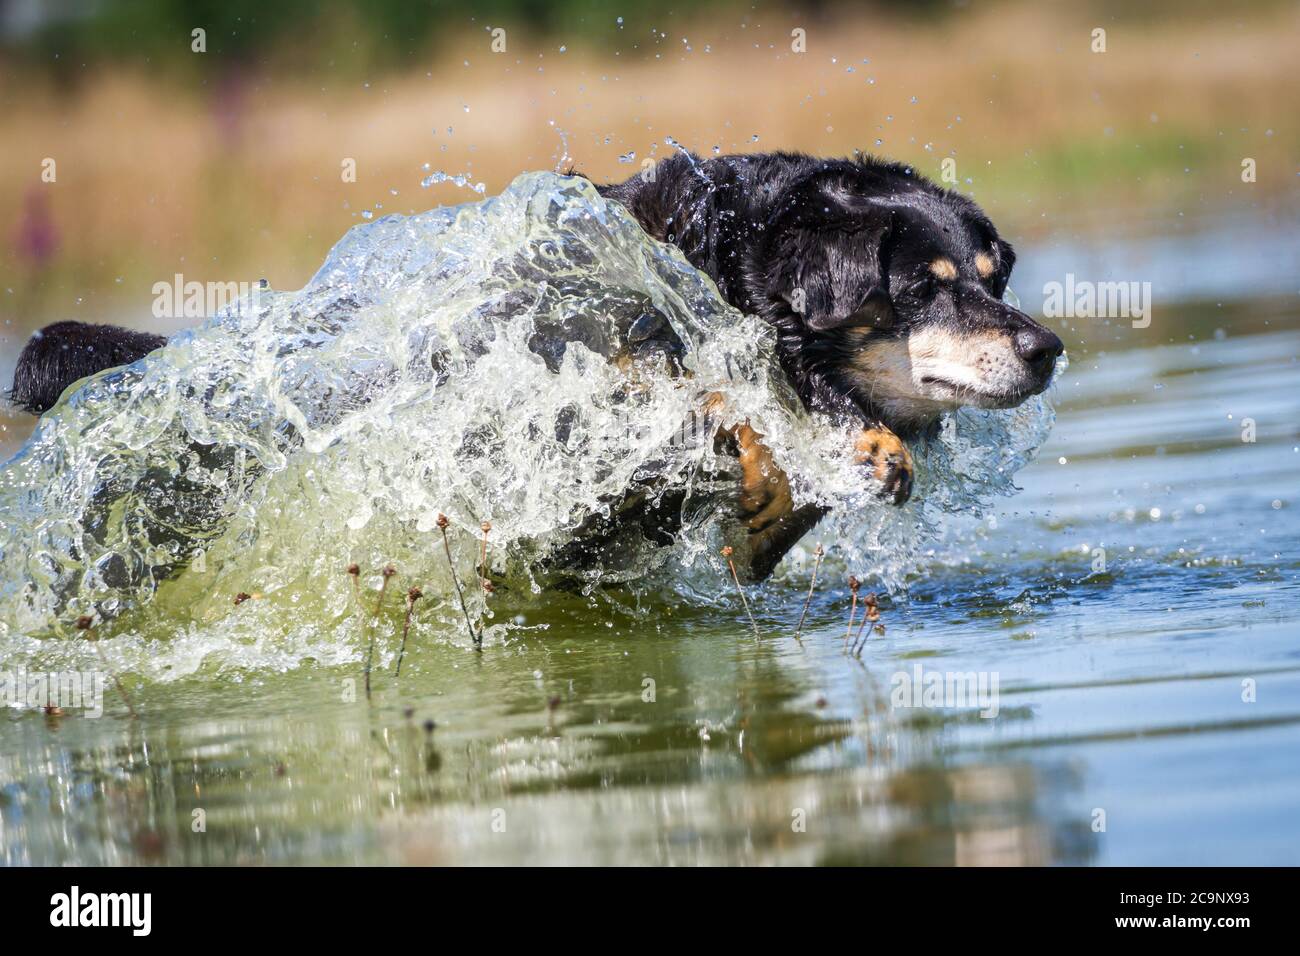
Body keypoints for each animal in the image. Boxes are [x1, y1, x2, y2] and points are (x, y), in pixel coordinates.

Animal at [7, 149, 1055, 587]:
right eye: (924, 288)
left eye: (993, 276)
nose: (1046, 348)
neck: (720, 266)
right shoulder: (588, 361)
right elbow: (696, 396)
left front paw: (834, 473)